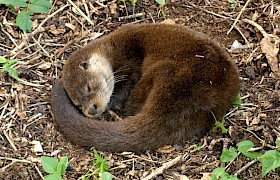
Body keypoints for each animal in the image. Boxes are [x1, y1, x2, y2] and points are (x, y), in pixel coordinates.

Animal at [50, 22, 238, 152]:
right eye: (78, 103)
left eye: (88, 87)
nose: (91, 110)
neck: (111, 50)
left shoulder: (129, 61)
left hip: (166, 71)